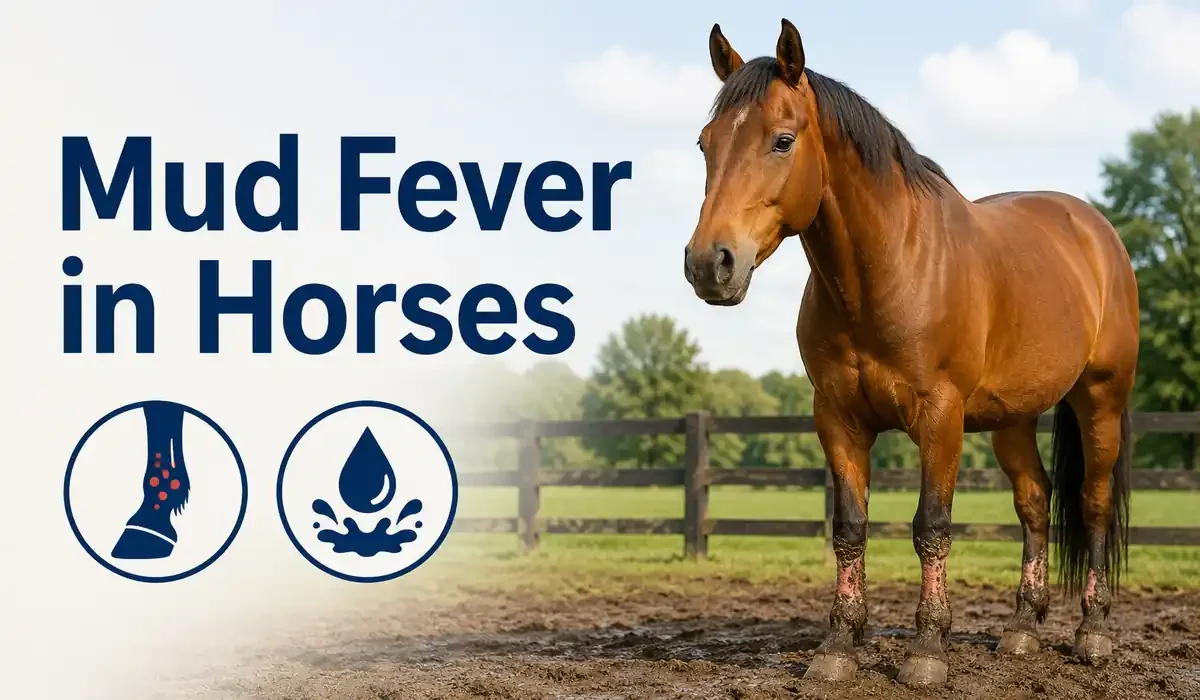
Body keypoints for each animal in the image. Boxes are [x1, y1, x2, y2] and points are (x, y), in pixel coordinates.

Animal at [683, 19, 1139, 687]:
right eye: (705, 145)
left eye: (782, 141)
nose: (708, 263)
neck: (891, 269)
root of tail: (1094, 231)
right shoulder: (837, 418)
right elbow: (850, 528)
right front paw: (838, 648)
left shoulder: (940, 417)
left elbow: (932, 527)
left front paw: (927, 650)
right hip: (1013, 417)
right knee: (1034, 502)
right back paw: (1023, 631)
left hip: (1100, 398)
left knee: (1094, 503)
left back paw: (1094, 632)